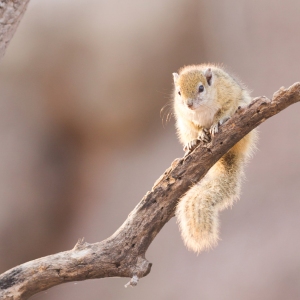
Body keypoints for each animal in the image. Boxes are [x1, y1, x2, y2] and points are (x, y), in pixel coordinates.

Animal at [173, 63, 258, 253]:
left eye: (201, 88)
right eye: (179, 92)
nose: (189, 104)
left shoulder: (227, 94)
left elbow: (225, 109)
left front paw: (216, 124)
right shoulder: (185, 118)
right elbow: (195, 126)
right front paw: (200, 134)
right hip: (183, 128)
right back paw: (192, 143)